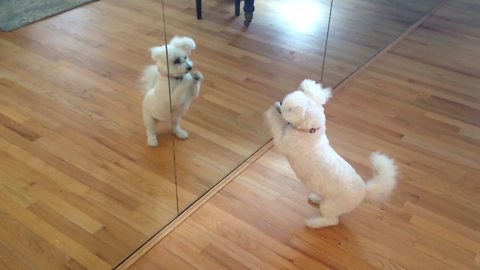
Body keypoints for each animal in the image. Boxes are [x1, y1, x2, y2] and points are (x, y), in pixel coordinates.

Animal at [262, 79, 398, 229]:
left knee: (332, 221)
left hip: (332, 206)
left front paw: (272, 112)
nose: (280, 101)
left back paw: (313, 223)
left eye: (288, 108)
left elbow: (276, 127)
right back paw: (316, 198)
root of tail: (364, 189)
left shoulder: (283, 144)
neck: (311, 132)